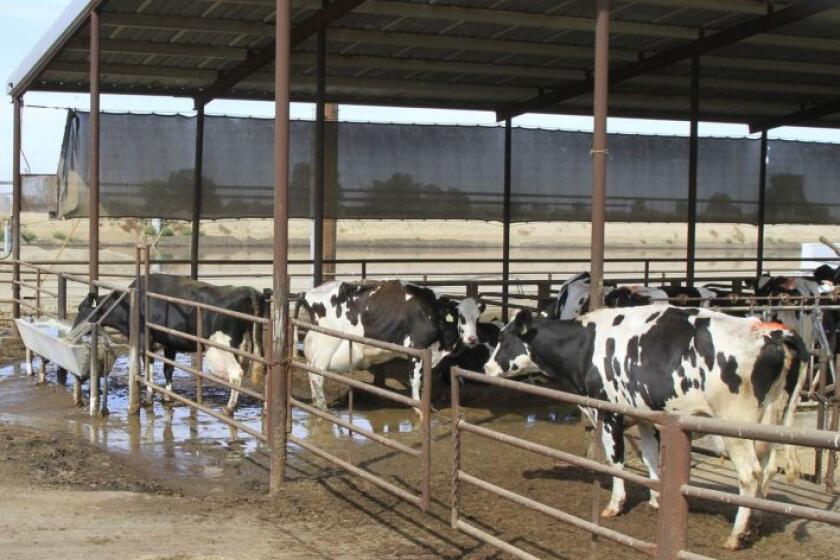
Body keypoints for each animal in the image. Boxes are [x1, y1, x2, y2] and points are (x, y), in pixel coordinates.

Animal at [75, 274, 268, 416]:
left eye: (81, 308)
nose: (74, 328)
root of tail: (249, 290)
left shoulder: (145, 339)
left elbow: (148, 368)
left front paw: (148, 399)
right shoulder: (170, 343)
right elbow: (168, 369)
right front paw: (167, 397)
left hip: (223, 346)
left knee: (236, 374)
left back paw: (229, 408)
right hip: (248, 346)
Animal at [298, 278, 482, 406]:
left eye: (477, 318)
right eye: (461, 318)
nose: (473, 339)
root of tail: (308, 292)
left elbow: (423, 379)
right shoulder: (416, 347)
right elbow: (415, 379)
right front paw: (418, 407)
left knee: (309, 369)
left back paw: (315, 403)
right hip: (328, 342)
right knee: (317, 375)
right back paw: (322, 407)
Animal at [486, 304, 808, 548]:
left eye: (504, 339)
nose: (487, 368)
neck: (588, 345)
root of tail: (772, 332)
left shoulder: (610, 413)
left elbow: (616, 462)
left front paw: (615, 504)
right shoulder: (644, 416)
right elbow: (652, 458)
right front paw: (656, 499)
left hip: (735, 425)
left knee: (750, 474)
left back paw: (736, 535)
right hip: (768, 422)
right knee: (767, 469)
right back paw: (757, 521)